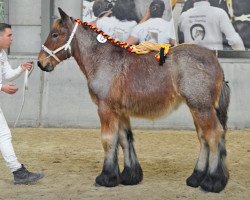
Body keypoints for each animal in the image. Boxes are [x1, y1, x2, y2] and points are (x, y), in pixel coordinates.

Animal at [36, 8, 230, 194]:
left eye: (55, 34)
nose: (40, 63)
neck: (103, 60)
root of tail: (216, 62)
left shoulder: (106, 109)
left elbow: (108, 140)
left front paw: (106, 177)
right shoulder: (120, 111)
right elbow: (124, 139)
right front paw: (129, 176)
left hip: (201, 108)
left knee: (213, 136)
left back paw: (212, 181)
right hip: (198, 109)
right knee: (204, 139)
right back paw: (196, 178)